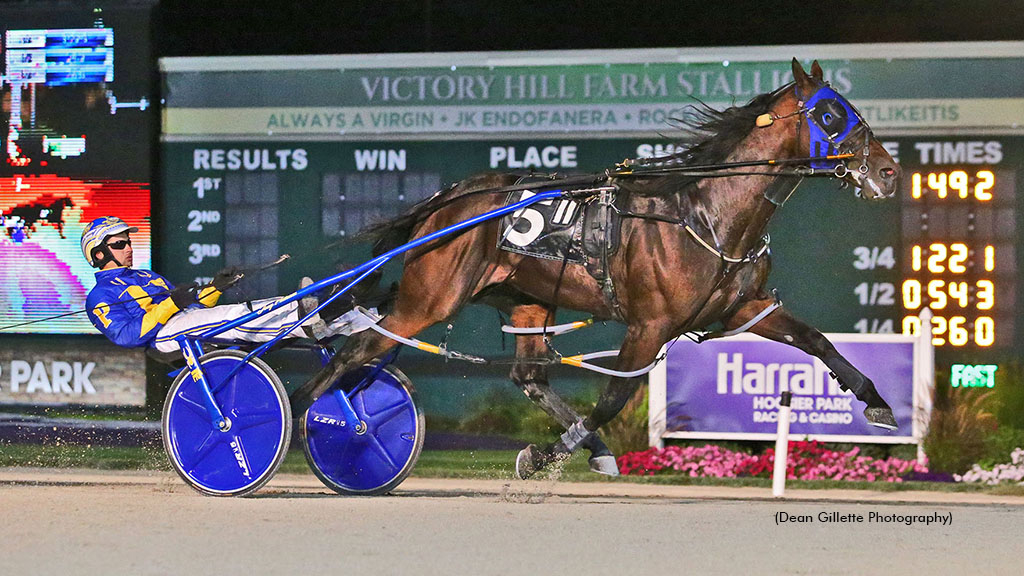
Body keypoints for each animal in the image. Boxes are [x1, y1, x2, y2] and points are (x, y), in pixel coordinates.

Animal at [292, 60, 901, 477]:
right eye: (830, 114)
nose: (889, 172)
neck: (706, 210)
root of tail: (449, 199)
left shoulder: (742, 308)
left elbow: (815, 340)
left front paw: (875, 400)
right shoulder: (650, 325)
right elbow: (612, 399)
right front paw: (548, 453)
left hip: (526, 299)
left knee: (527, 376)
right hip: (431, 297)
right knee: (356, 349)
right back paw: (291, 418)